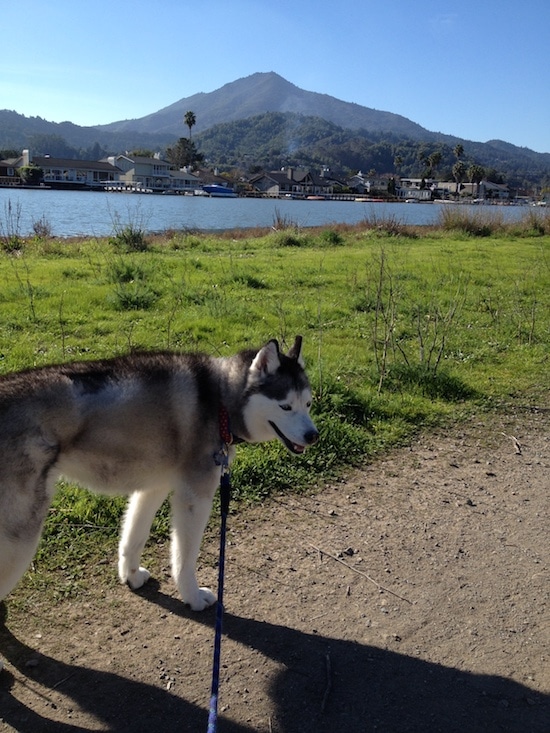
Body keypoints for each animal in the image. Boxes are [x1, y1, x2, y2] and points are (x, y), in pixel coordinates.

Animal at [0, 338, 320, 612]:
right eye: (285, 406)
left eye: (308, 403)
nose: (313, 436)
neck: (219, 399)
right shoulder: (194, 496)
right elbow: (184, 557)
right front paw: (193, 596)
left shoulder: (152, 486)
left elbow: (133, 537)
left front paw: (131, 576)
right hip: (20, 536)